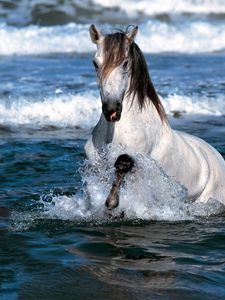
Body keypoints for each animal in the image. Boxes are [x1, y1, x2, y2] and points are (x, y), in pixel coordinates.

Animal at [85, 24, 225, 210]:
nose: (111, 110)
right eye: (95, 63)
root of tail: (218, 157)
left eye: (125, 63)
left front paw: (112, 202)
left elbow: (123, 164)